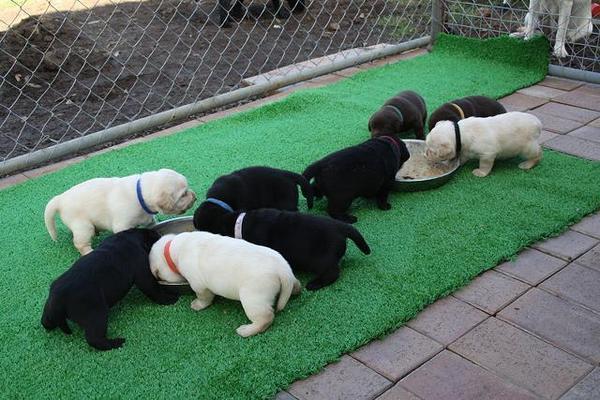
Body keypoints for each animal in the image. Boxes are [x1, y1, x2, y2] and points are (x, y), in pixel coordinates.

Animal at [41, 228, 178, 350]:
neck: (131, 236)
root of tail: (58, 301)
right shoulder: (142, 273)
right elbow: (154, 290)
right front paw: (169, 299)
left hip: (49, 309)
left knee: (46, 322)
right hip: (97, 313)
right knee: (94, 338)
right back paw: (115, 343)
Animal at [45, 168, 195, 255]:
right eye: (183, 194)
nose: (195, 197)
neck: (140, 194)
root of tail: (60, 198)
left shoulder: (148, 219)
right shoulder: (122, 226)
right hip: (84, 226)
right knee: (80, 243)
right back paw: (88, 252)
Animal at [150, 231, 300, 338]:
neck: (173, 247)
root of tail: (282, 270)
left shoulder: (198, 284)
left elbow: (204, 297)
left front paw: (197, 305)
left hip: (252, 297)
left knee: (265, 318)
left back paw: (246, 331)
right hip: (287, 280)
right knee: (296, 285)